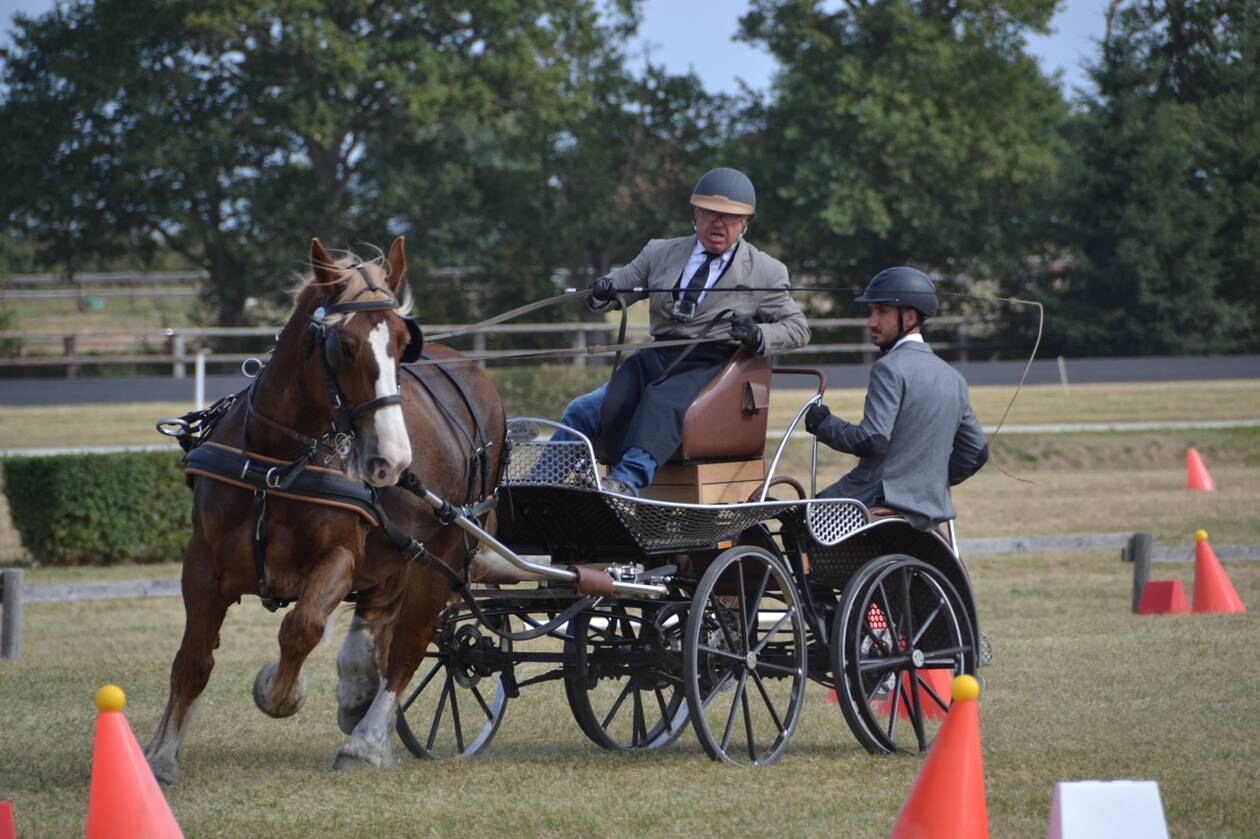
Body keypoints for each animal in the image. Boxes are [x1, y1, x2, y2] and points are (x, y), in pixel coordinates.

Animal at [144, 236, 506, 776]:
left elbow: (302, 627)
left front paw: (278, 690)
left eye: (403, 342)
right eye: (345, 346)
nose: (392, 459)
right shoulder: (203, 561)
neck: (276, 463)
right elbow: (193, 658)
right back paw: (358, 694)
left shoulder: (339, 558)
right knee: (378, 618)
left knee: (408, 648)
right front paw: (162, 752)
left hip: (441, 554)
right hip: (397, 552)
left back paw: (366, 741)